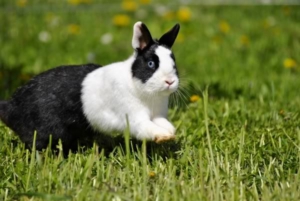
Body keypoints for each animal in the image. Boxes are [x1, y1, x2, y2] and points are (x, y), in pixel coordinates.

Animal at [0, 21, 180, 152]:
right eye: (151, 64)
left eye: (174, 62)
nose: (170, 81)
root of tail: (10, 107)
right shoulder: (135, 118)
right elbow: (146, 127)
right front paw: (164, 136)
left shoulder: (157, 115)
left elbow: (162, 122)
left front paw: (171, 132)